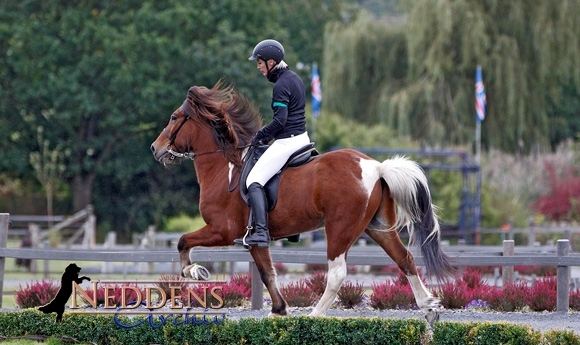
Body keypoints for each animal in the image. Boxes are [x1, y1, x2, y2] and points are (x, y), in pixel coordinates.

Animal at [151, 80, 454, 320]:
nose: (156, 149)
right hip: (377, 227)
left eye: (175, 117)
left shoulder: (221, 230)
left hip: (340, 229)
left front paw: (194, 271)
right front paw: (278, 310)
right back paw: (428, 305)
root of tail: (377, 167)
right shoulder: (254, 238)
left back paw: (315, 314)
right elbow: (267, 272)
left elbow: (183, 241)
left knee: (337, 273)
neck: (225, 166)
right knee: (405, 258)